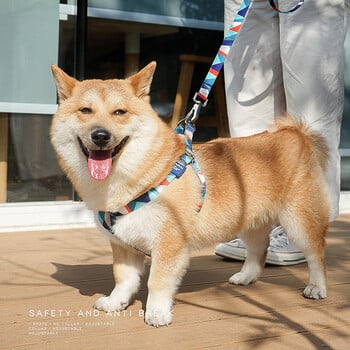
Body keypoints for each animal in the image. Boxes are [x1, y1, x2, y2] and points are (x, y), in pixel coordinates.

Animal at [50, 61, 330, 326]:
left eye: (119, 112)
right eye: (85, 110)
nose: (100, 136)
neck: (141, 179)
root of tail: (295, 134)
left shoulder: (169, 243)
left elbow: (157, 282)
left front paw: (157, 312)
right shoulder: (122, 244)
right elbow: (123, 278)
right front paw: (115, 302)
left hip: (298, 222)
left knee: (316, 254)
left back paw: (316, 287)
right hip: (249, 222)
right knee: (258, 249)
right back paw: (246, 276)